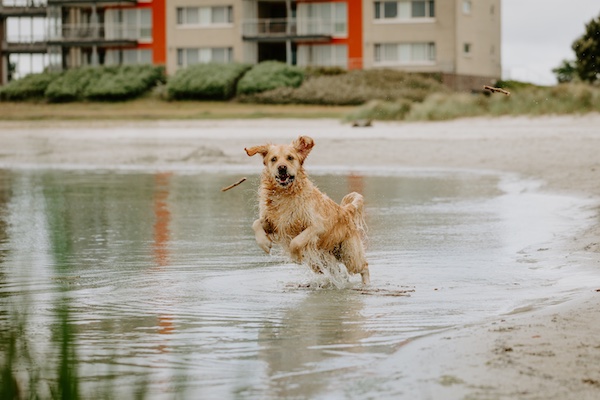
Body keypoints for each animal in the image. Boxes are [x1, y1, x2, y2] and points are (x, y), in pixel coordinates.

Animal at [245, 135, 370, 284]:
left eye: (290, 158)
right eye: (273, 159)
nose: (282, 168)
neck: (284, 194)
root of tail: (346, 210)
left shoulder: (317, 226)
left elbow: (296, 242)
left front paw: (295, 256)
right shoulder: (273, 222)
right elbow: (255, 223)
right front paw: (264, 242)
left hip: (349, 255)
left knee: (364, 267)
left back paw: (366, 285)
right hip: (322, 261)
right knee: (335, 270)